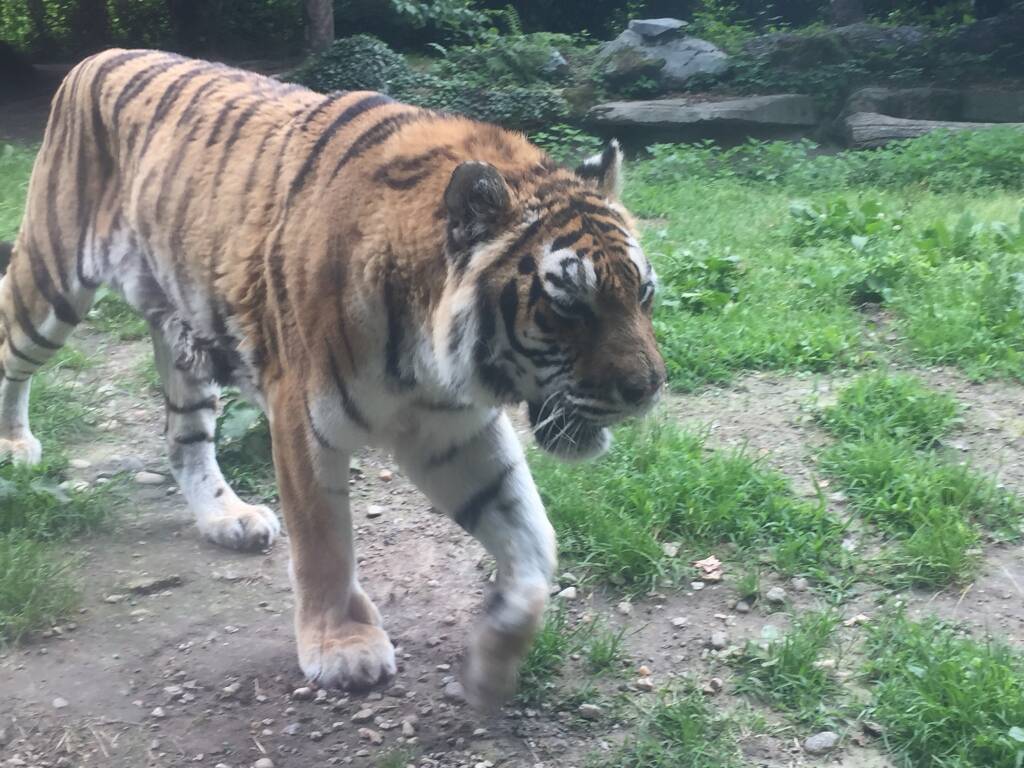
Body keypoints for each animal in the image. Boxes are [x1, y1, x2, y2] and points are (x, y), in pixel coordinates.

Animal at [0, 48, 665, 707]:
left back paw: (226, 518)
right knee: (12, 348)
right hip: (50, 281)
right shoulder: (301, 417)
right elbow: (324, 542)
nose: (649, 390)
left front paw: (492, 662)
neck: (428, 359)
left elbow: (532, 541)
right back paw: (14, 447)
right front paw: (341, 644)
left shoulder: (452, 428)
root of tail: (98, 55)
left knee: (185, 440)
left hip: (183, 334)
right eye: (570, 307)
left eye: (644, 294)